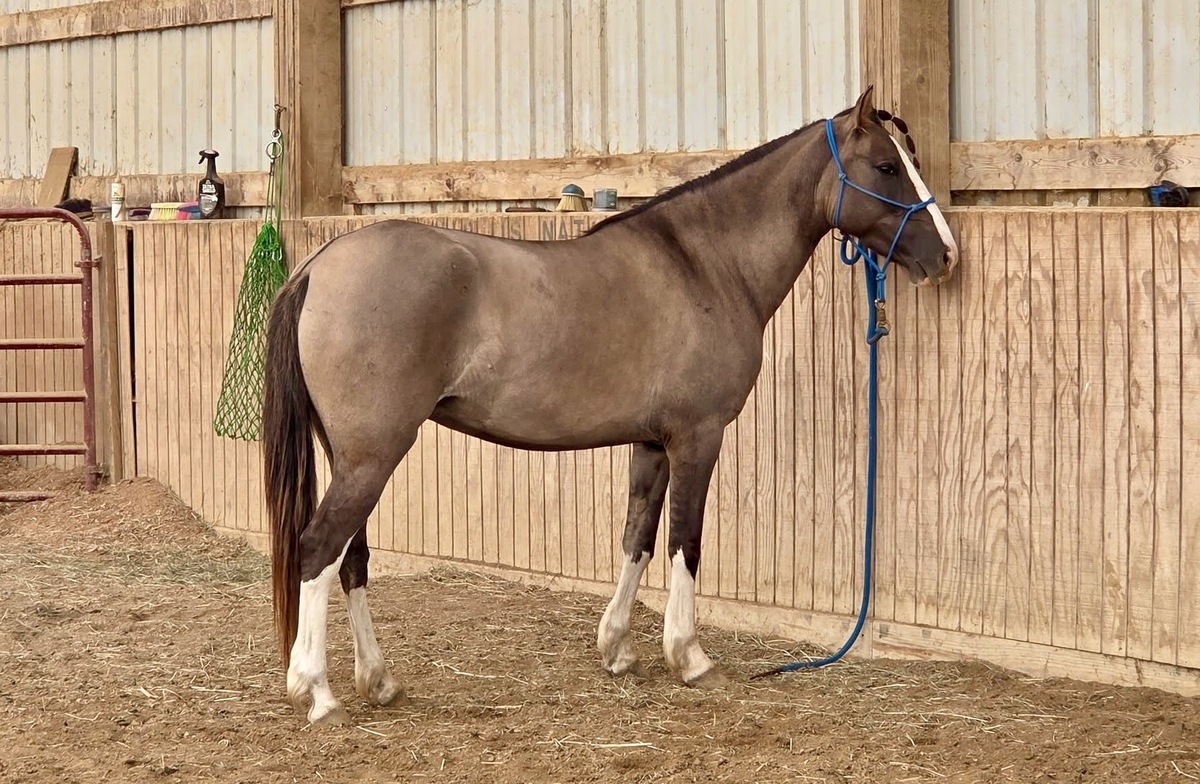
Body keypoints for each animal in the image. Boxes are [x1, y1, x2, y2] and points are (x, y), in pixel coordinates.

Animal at [262, 85, 959, 726]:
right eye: (887, 166)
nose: (946, 255)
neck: (705, 262)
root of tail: (318, 267)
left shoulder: (651, 441)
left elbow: (637, 538)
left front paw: (618, 648)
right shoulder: (697, 437)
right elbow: (684, 541)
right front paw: (689, 657)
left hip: (353, 456)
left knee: (350, 559)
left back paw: (377, 682)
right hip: (374, 455)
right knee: (320, 549)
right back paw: (317, 692)